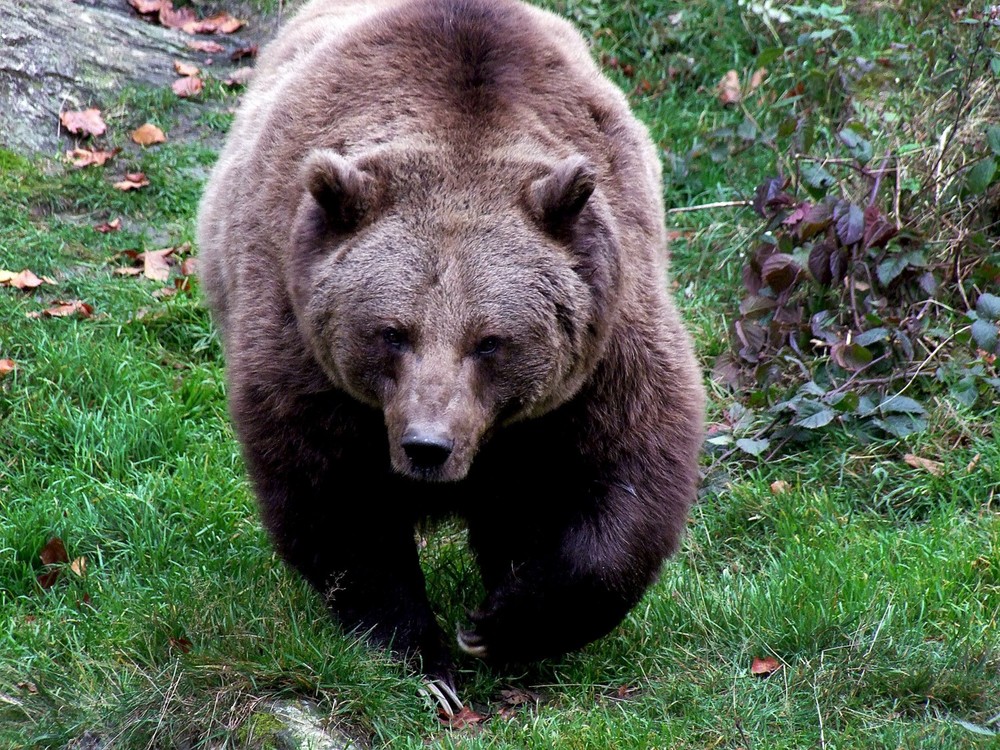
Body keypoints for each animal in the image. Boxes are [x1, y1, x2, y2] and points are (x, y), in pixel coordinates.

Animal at [197, 0, 704, 692]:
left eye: (490, 341)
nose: (427, 447)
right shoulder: (299, 337)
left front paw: (502, 623)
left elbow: (628, 479)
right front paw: (420, 656)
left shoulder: (603, 348)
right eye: (391, 332)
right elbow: (336, 500)